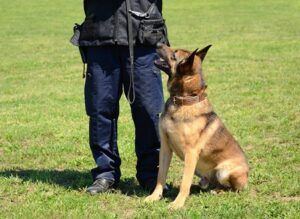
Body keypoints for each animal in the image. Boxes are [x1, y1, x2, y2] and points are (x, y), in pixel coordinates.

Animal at [144, 42, 250, 209]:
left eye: (174, 54)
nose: (158, 43)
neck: (184, 100)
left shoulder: (191, 153)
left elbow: (184, 182)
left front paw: (177, 203)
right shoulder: (165, 148)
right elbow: (160, 176)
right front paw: (155, 197)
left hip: (224, 171)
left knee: (232, 189)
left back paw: (218, 191)